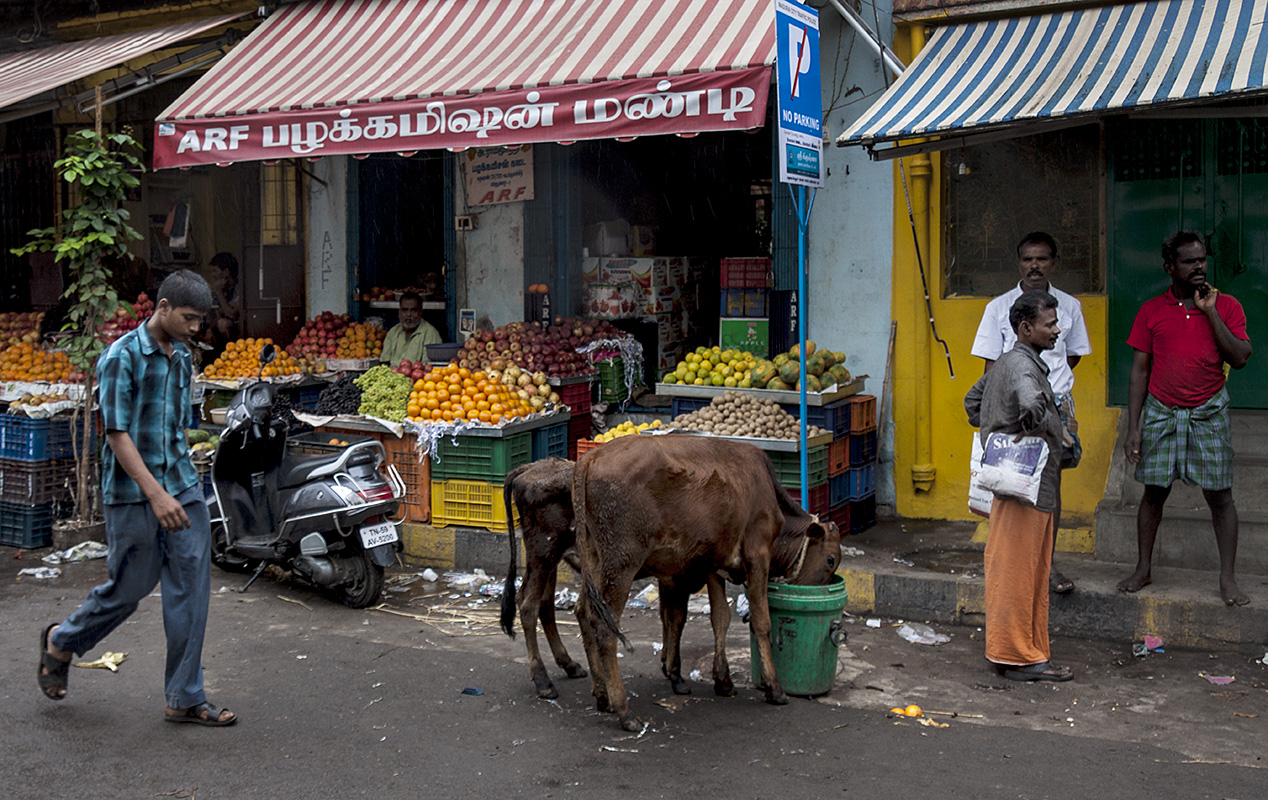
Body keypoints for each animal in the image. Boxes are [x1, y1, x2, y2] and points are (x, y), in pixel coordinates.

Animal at [502, 456, 740, 699]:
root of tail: (530, 467)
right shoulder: (679, 576)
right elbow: (680, 618)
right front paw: (678, 675)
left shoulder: (675, 577)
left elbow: (672, 616)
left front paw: (668, 664)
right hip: (543, 553)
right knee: (528, 604)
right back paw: (544, 682)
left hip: (551, 560)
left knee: (545, 605)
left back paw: (569, 665)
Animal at [575, 436, 841, 730]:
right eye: (830, 559)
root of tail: (592, 456)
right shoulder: (757, 555)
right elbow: (761, 621)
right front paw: (774, 688)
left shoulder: (714, 565)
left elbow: (720, 618)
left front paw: (723, 680)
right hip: (622, 562)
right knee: (605, 628)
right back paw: (624, 710)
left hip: (596, 561)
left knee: (585, 613)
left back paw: (603, 695)